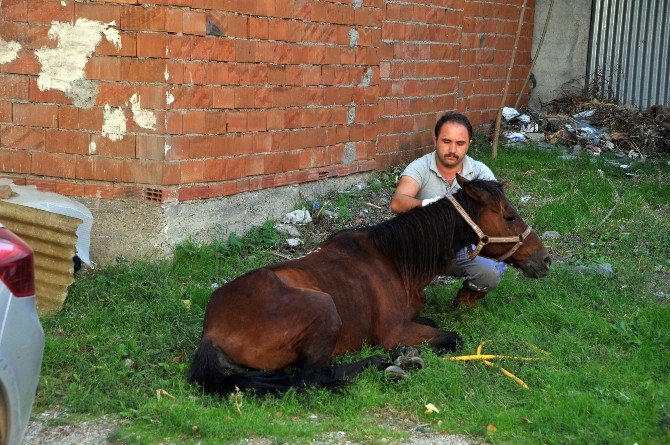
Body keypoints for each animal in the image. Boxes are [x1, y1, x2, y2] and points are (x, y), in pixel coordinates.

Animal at [188, 175, 552, 394]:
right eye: (509, 217)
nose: (545, 259)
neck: (395, 260)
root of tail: (211, 331)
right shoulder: (395, 330)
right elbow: (452, 337)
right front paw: (402, 354)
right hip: (323, 308)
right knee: (313, 378)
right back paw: (386, 363)